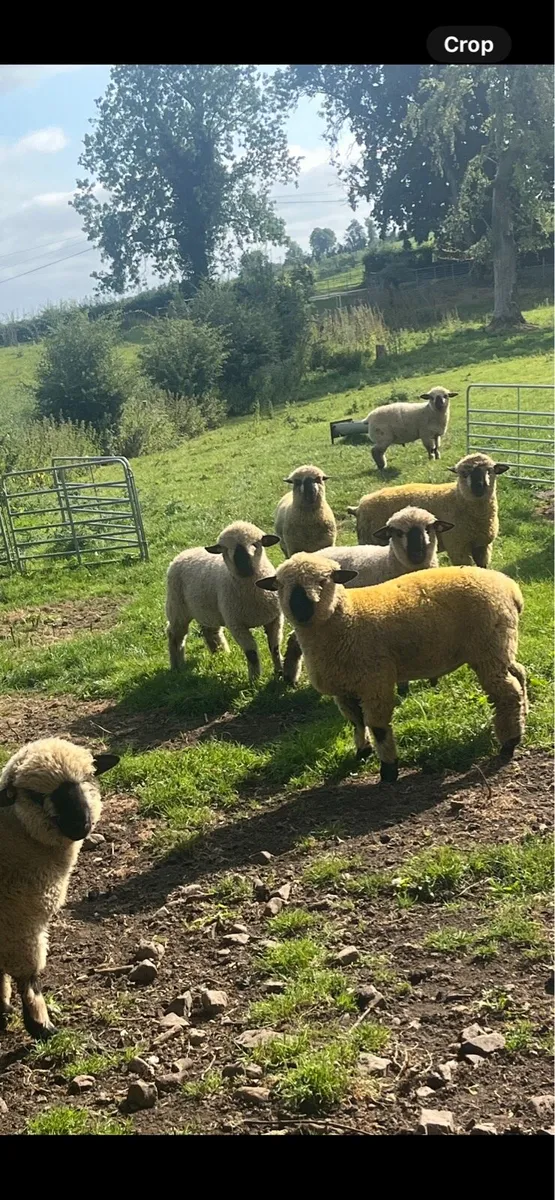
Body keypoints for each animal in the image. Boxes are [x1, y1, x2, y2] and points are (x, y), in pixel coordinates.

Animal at [0, 738, 119, 1041]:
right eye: (35, 795)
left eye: (88, 777)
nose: (81, 823)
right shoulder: (19, 924)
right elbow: (28, 979)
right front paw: (40, 1025)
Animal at [166, 521, 283, 683]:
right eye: (225, 549)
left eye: (256, 543)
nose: (244, 566)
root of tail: (184, 553)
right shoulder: (236, 625)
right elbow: (252, 653)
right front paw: (255, 680)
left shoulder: (275, 619)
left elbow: (275, 648)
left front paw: (280, 672)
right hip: (177, 608)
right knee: (175, 635)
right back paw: (177, 665)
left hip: (208, 611)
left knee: (210, 631)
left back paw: (221, 654)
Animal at [257, 553, 527, 782]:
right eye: (280, 585)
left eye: (325, 580)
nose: (301, 609)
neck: (346, 617)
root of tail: (510, 588)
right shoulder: (344, 688)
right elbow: (356, 722)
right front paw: (362, 752)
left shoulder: (375, 681)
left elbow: (378, 728)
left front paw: (388, 769)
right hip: (502, 646)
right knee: (520, 674)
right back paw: (523, 717)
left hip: (489, 648)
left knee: (507, 692)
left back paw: (509, 743)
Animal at [282, 506, 453, 691]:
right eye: (398, 532)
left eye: (429, 528)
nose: (417, 553)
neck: (388, 562)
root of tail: (316, 553)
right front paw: (403, 688)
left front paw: (433, 680)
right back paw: (290, 679)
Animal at [348, 453, 511, 567]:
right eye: (463, 474)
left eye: (490, 471)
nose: (479, 486)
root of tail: (359, 506)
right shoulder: (457, 546)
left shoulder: (482, 545)